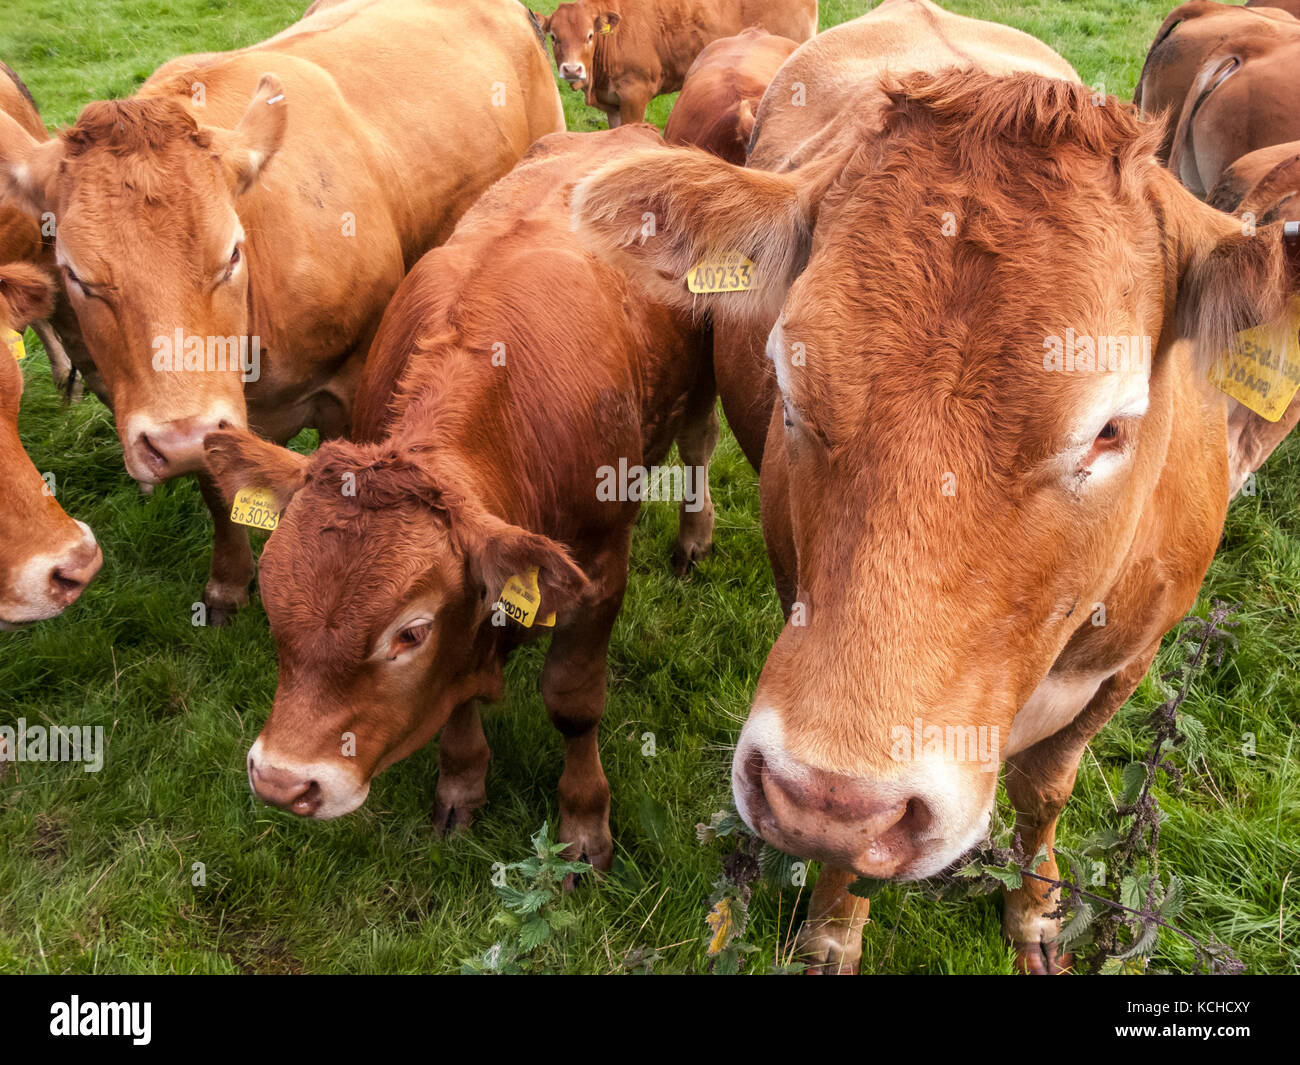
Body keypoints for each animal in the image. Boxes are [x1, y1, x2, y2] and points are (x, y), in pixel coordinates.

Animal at [200, 126, 717, 871]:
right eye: (270, 599)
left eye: (410, 633)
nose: (282, 782)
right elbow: (455, 702)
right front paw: (462, 782)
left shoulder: (598, 571)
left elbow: (574, 702)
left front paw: (583, 822)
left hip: (704, 381)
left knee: (700, 446)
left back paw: (692, 541)